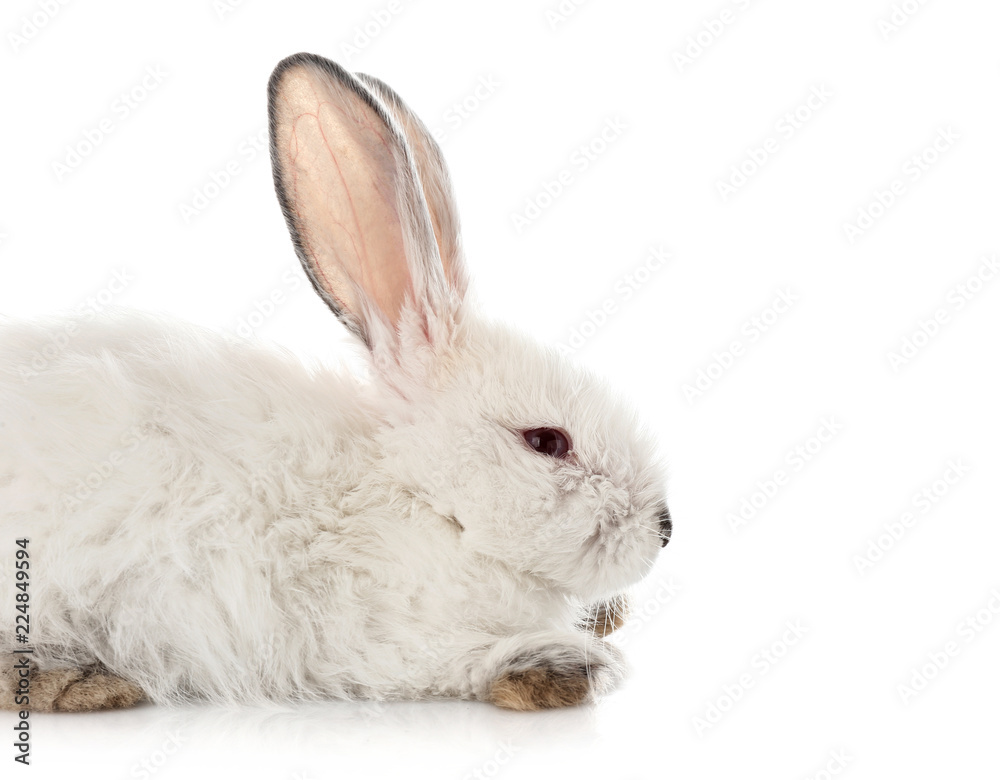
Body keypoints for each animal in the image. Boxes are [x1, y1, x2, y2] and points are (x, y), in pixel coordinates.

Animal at [1, 51, 672, 712]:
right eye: (547, 442)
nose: (665, 530)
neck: (419, 497)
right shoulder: (381, 636)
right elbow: (456, 662)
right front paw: (562, 663)